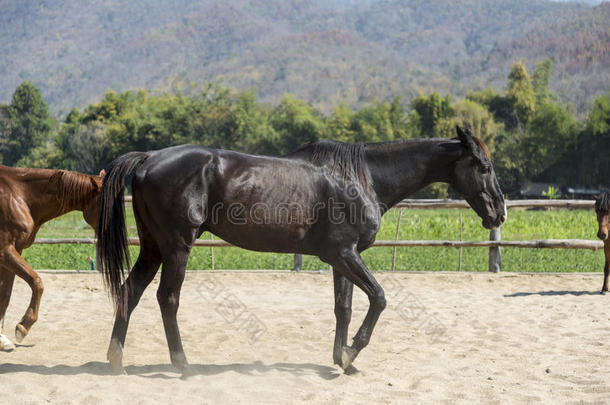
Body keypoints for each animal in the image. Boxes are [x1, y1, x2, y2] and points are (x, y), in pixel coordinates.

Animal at [0, 166, 103, 348]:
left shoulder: (15, 251)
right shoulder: (5, 251)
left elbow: (5, 295)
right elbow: (37, 282)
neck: (20, 195)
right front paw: (23, 326)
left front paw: (2, 340)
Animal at [96, 125, 504, 376]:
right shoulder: (345, 255)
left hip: (153, 248)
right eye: (483, 166)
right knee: (167, 299)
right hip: (177, 247)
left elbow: (344, 308)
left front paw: (342, 360)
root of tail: (149, 157)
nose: (499, 211)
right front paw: (352, 352)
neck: (362, 178)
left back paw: (116, 361)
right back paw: (183, 365)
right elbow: (379, 298)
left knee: (129, 293)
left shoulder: (342, 258)